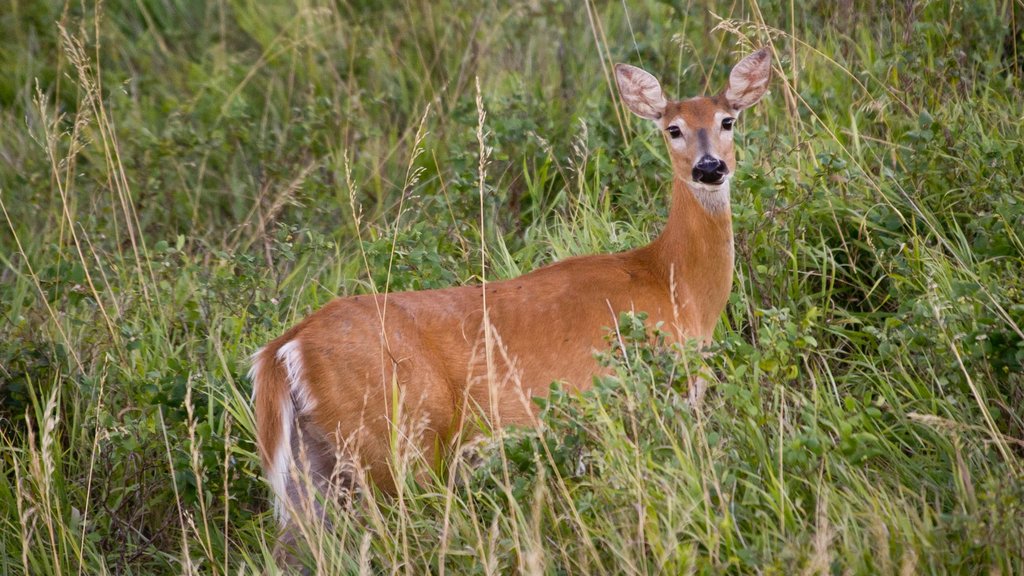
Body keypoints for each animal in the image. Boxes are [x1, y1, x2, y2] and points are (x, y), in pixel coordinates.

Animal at [253, 48, 770, 557]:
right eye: (673, 128)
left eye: (728, 120)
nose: (709, 168)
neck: (671, 283)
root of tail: (283, 350)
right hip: (398, 435)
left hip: (313, 460)